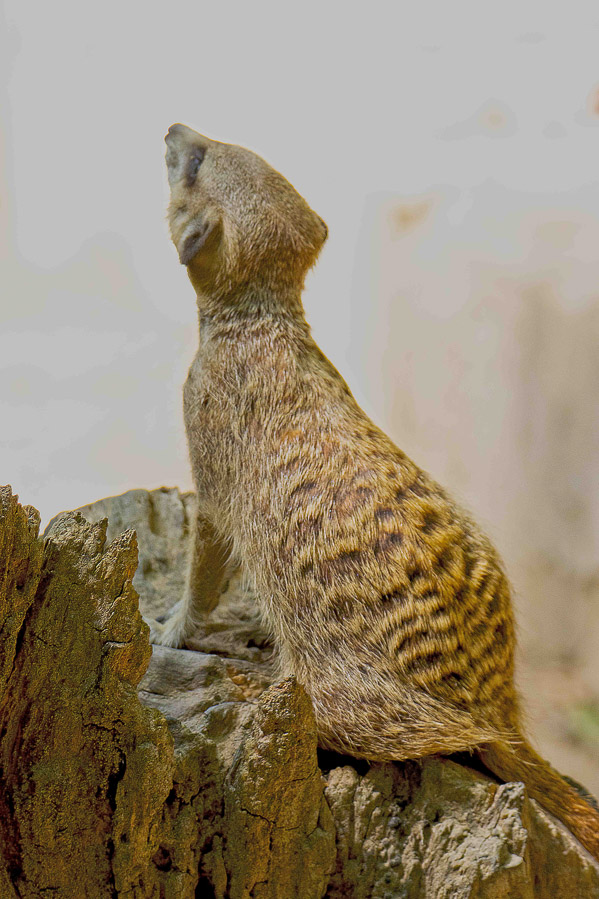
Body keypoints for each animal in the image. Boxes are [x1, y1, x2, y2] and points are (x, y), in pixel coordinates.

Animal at [148, 122, 599, 861]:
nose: (174, 127)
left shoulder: (206, 416)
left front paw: (175, 627)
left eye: (194, 163)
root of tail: (496, 706)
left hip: (353, 697)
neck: (257, 319)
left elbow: (211, 537)